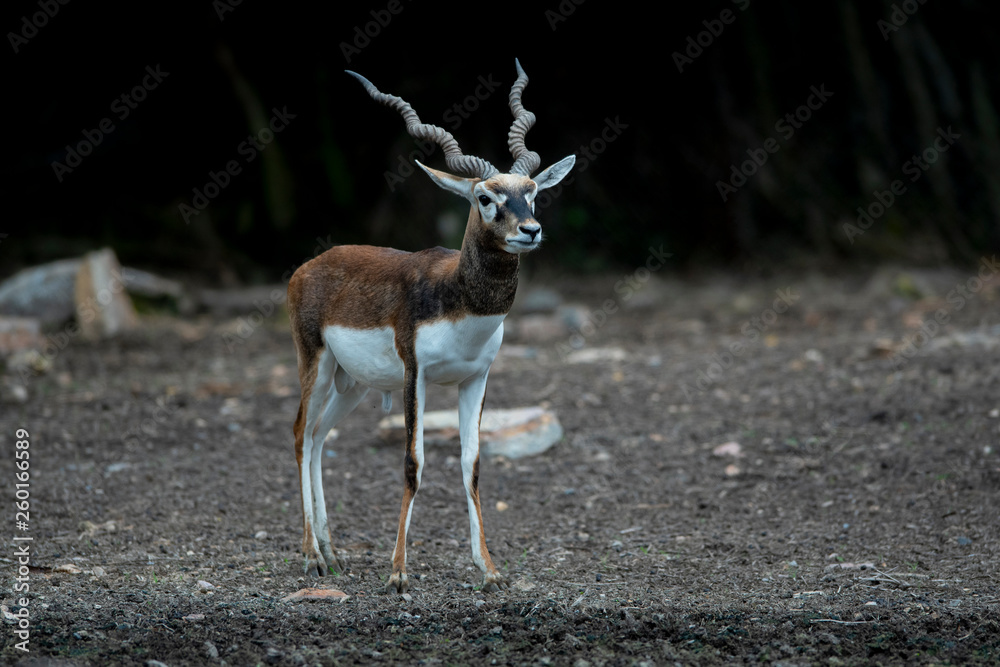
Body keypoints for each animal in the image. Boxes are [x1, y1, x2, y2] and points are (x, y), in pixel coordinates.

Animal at [287, 60, 575, 594]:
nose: (530, 231)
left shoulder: (476, 378)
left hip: (352, 383)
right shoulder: (414, 374)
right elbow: (413, 463)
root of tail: (309, 266)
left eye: (531, 194)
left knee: (317, 437)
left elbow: (471, 465)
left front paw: (489, 569)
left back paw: (332, 555)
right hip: (314, 363)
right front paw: (398, 572)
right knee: (299, 433)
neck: (459, 301)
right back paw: (312, 557)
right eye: (485, 197)